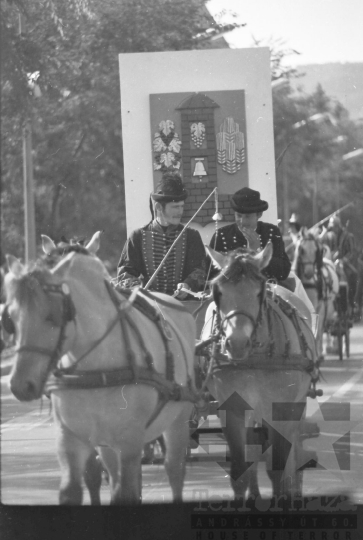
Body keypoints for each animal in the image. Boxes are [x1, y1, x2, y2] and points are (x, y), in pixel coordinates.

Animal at [4, 239, 198, 502]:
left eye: (54, 315)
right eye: (10, 318)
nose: (20, 385)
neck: (96, 366)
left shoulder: (130, 441)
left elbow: (128, 491)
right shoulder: (72, 438)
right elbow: (78, 487)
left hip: (178, 421)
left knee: (174, 470)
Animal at [202, 246, 318, 502]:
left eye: (259, 292)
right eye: (218, 291)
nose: (236, 343)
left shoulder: (282, 410)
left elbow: (278, 467)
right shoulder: (233, 410)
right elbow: (240, 470)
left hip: (295, 407)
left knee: (292, 453)